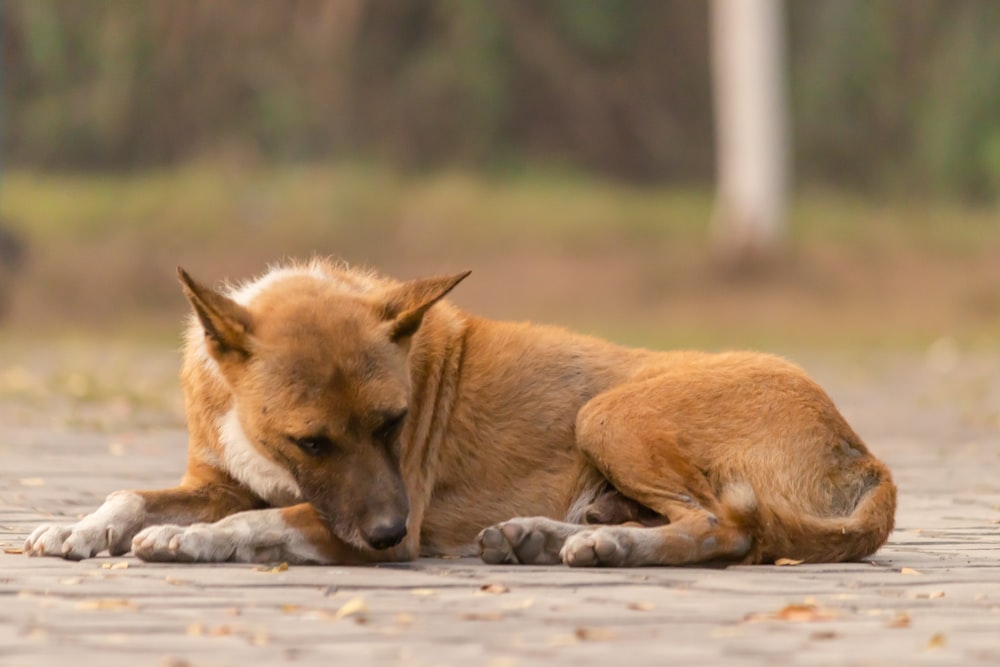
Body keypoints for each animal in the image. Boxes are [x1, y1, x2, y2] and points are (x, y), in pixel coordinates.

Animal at [25, 258, 900, 568]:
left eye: (394, 421)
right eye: (312, 439)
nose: (386, 537)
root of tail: (865, 453)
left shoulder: (374, 514)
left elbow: (266, 519)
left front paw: (195, 540)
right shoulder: (219, 478)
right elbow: (132, 493)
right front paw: (80, 526)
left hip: (609, 411)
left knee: (725, 526)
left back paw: (609, 543)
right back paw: (548, 534)